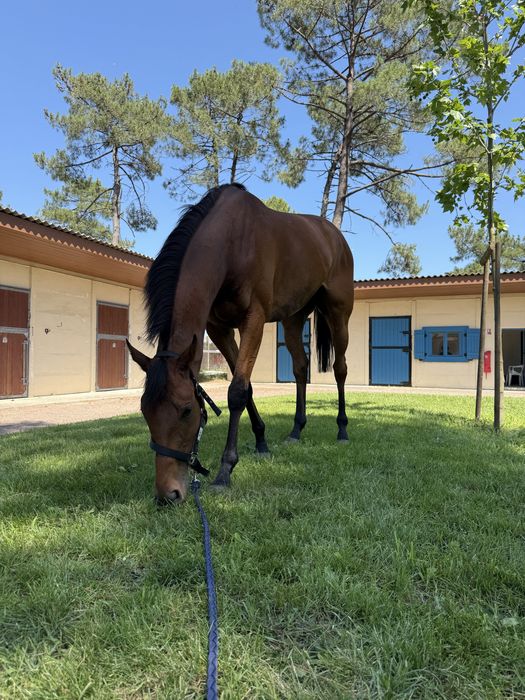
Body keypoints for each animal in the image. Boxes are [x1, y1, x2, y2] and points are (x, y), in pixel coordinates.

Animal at [127, 183, 354, 504]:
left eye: (186, 410)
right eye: (145, 411)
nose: (167, 494)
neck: (232, 242)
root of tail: (333, 235)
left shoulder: (253, 320)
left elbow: (236, 392)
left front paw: (225, 470)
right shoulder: (219, 328)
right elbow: (245, 388)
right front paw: (261, 441)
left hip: (338, 313)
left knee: (340, 368)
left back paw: (342, 430)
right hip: (293, 319)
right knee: (300, 367)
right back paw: (296, 430)